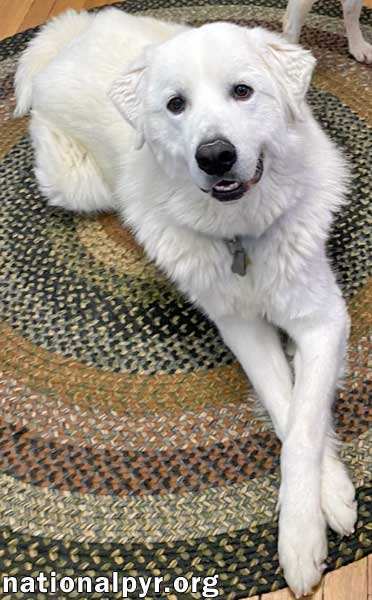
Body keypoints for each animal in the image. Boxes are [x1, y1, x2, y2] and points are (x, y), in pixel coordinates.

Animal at [14, 8, 358, 596]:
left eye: (242, 91)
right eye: (176, 104)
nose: (215, 155)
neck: (242, 235)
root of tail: (73, 33)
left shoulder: (322, 319)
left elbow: (306, 421)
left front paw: (313, 514)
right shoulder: (242, 329)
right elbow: (286, 409)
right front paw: (310, 522)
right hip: (78, 183)